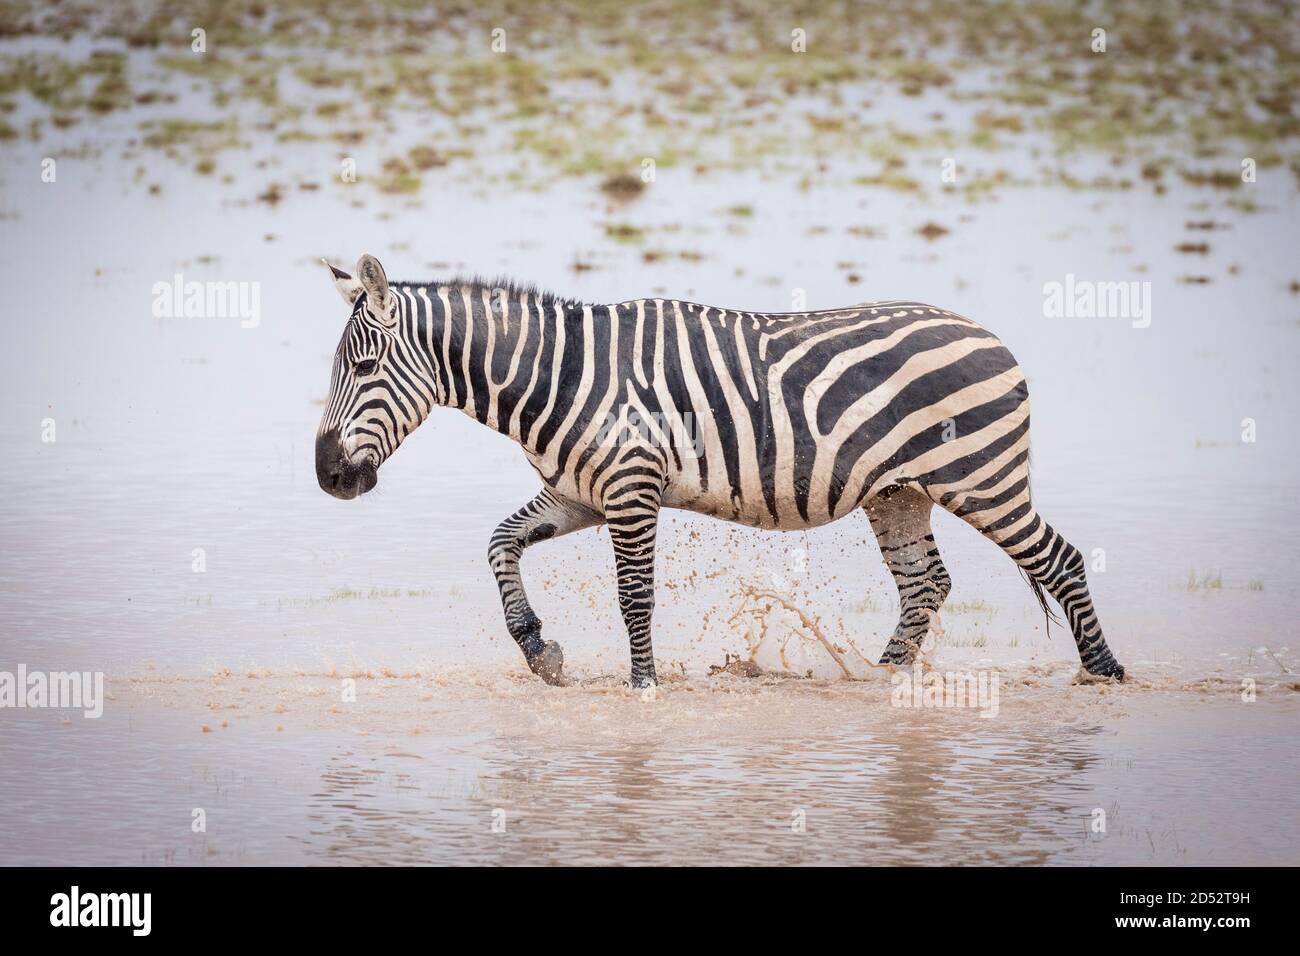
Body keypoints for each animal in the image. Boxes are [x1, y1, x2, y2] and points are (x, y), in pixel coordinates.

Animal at [314, 254, 1128, 686]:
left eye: (363, 368)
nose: (328, 479)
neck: (560, 376)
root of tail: (994, 338)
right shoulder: (578, 495)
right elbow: (499, 543)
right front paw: (539, 648)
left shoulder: (630, 490)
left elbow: (634, 596)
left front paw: (643, 684)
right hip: (899, 493)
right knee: (926, 582)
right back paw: (881, 675)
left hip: (982, 479)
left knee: (1059, 559)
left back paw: (1104, 670)